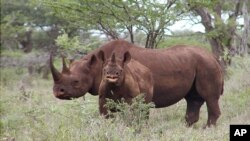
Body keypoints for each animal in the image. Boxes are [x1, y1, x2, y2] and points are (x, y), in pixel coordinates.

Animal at [49, 39, 224, 126]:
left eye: (76, 81)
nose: (57, 92)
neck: (96, 66)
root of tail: (214, 56)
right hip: (198, 64)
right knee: (193, 99)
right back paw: (187, 128)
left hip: (206, 65)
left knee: (210, 97)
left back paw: (207, 129)